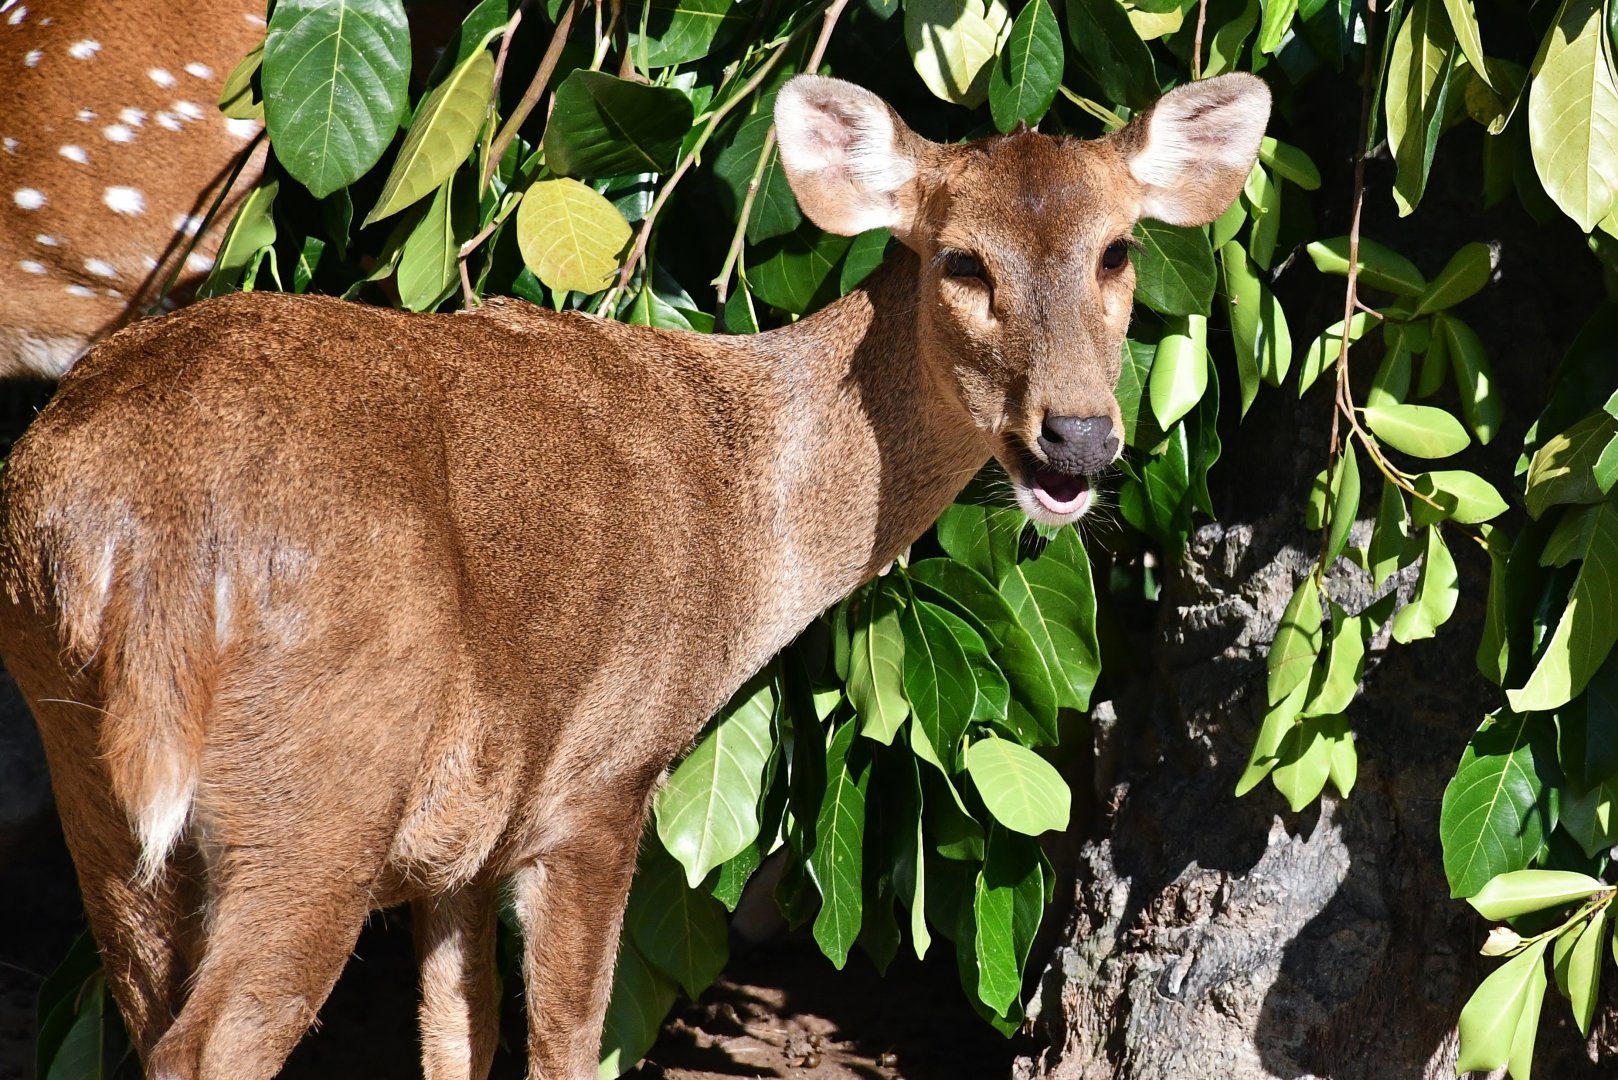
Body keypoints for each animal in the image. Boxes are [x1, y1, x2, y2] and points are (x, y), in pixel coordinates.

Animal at [0, 72, 1269, 1079]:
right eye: (961, 259)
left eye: (1116, 250)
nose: (1079, 439)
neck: (744, 513)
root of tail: (144, 525)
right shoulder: (601, 780)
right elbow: (569, 1045)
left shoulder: (466, 840)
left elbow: (459, 1041)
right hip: (320, 771)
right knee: (212, 1043)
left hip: (93, 771)